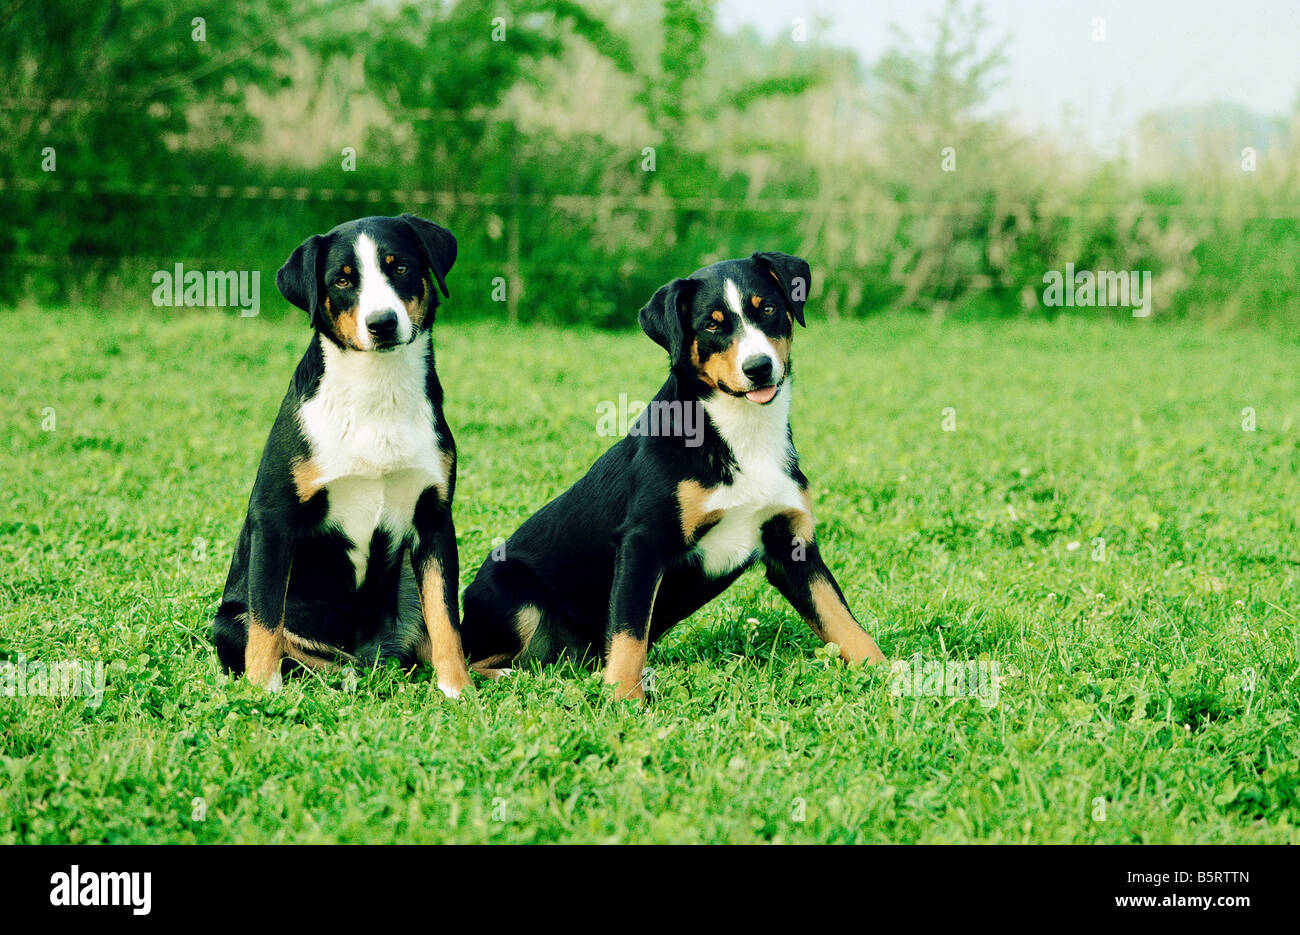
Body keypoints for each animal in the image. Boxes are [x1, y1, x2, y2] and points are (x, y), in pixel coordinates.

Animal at [210, 211, 475, 697]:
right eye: (343, 280)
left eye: (400, 267)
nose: (382, 323)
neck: (377, 391)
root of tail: (370, 653)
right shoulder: (274, 519)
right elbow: (266, 623)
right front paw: (261, 692)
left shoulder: (433, 518)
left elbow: (446, 620)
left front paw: (457, 690)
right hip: (229, 621)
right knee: (312, 654)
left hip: (405, 579)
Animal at [462, 252, 889, 697]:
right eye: (712, 325)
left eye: (768, 309)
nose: (758, 367)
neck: (742, 432)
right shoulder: (642, 543)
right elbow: (629, 632)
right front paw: (622, 697)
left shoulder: (792, 544)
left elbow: (843, 620)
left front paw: (889, 672)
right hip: (515, 596)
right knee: (474, 660)